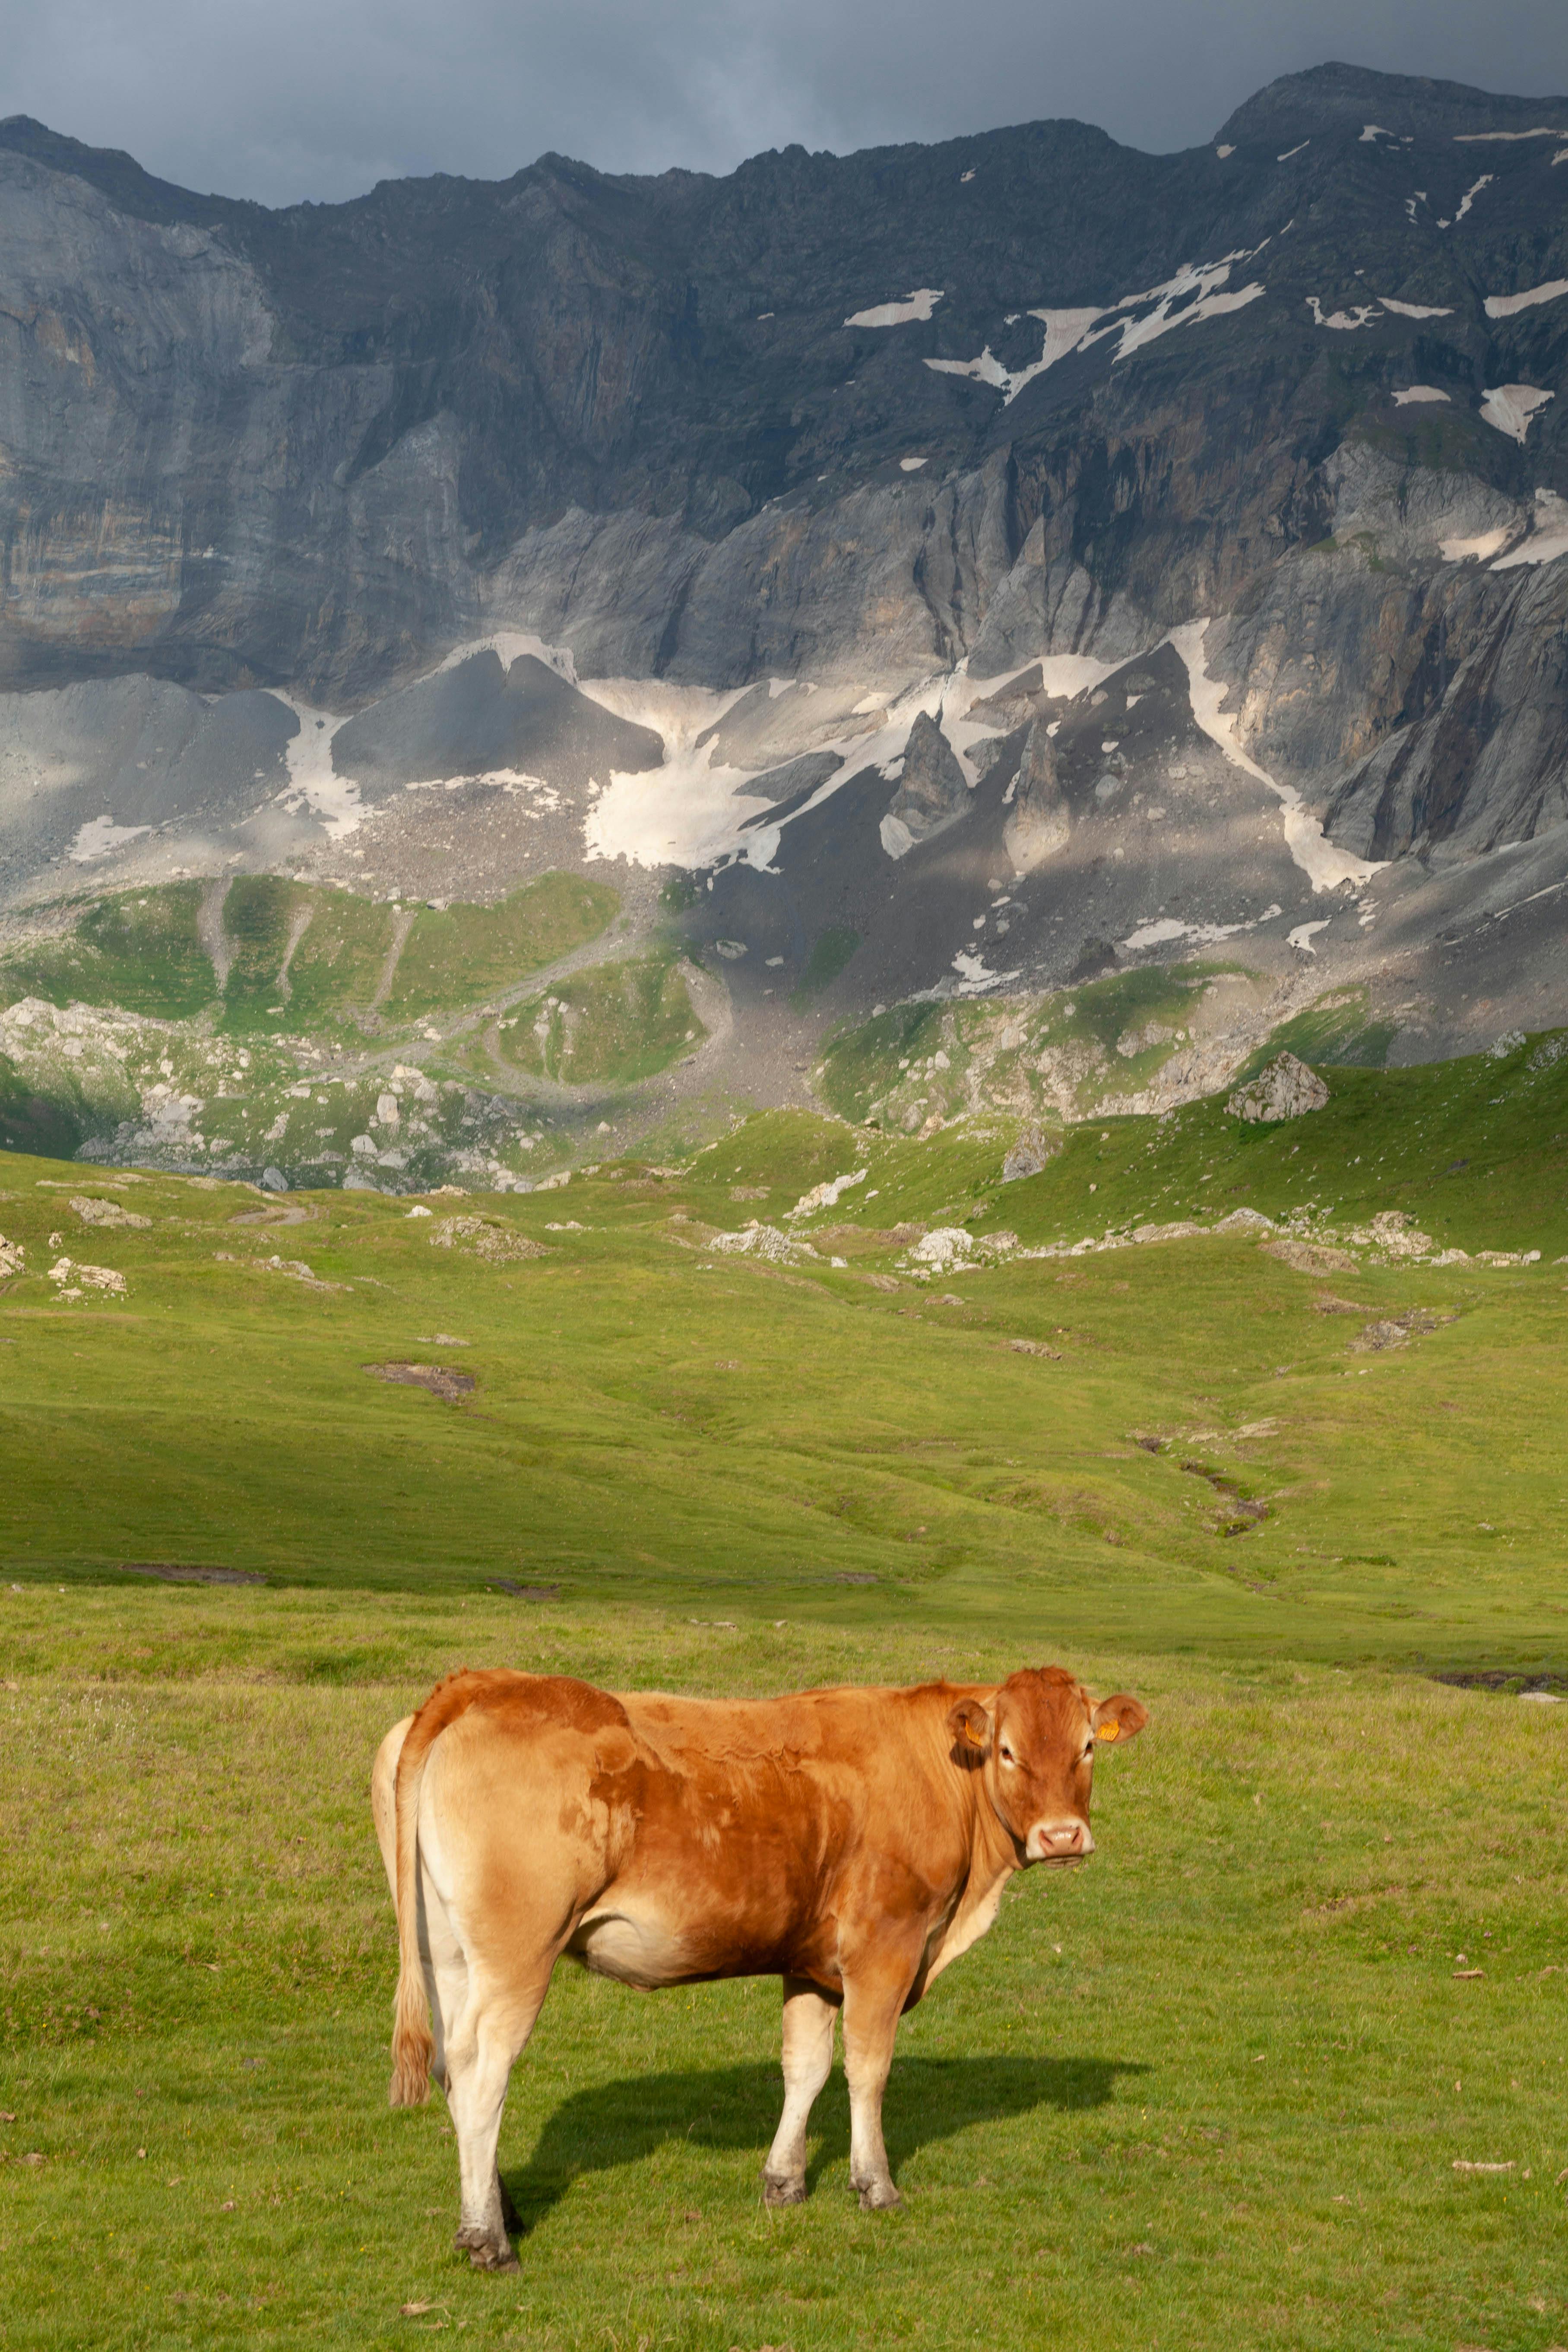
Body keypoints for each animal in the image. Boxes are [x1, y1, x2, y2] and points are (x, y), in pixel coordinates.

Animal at [374, 1655, 1147, 2258]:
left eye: (1086, 1746)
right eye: (1008, 1750)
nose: (1061, 1836)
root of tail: (486, 1683)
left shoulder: (810, 1963)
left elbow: (803, 2067)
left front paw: (783, 2182)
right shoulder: (884, 1947)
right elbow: (867, 2069)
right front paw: (875, 2184)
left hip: (449, 1957)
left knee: (451, 2064)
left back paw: (498, 2206)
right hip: (518, 1953)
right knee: (484, 2072)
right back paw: (486, 2236)